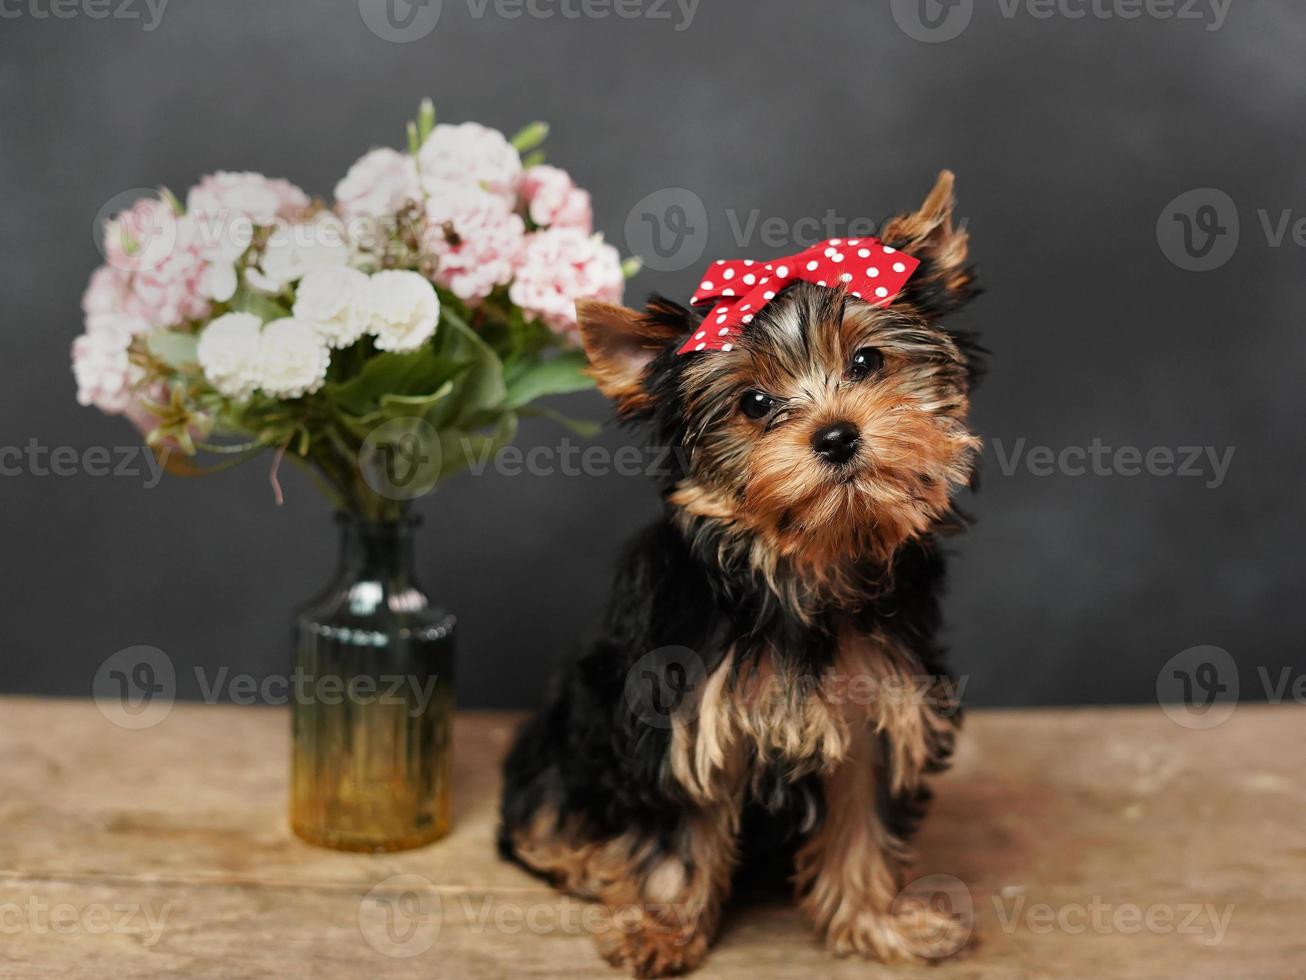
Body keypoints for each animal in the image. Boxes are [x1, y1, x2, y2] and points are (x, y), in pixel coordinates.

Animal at [498, 172, 982, 977]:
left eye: (866, 363)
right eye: (754, 404)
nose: (837, 435)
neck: (801, 564)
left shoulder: (878, 704)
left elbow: (862, 820)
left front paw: (876, 920)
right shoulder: (682, 715)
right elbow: (680, 834)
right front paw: (660, 926)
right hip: (569, 727)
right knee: (541, 815)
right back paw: (588, 859)